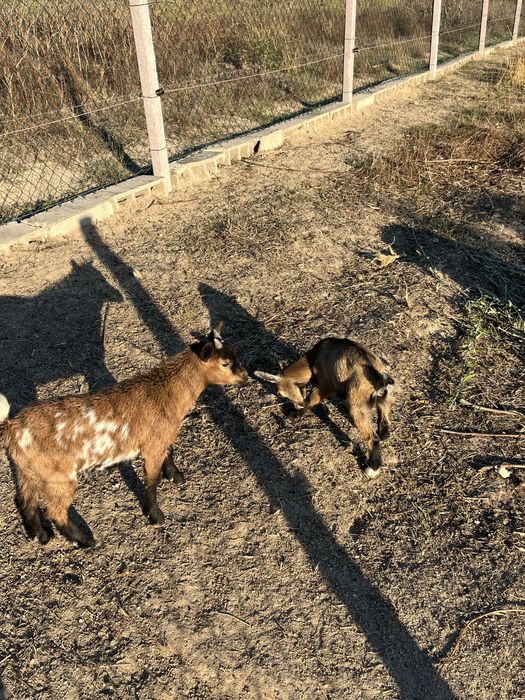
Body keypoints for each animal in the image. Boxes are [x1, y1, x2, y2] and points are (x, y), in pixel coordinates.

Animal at [0, 322, 248, 547]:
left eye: (235, 353)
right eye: (225, 363)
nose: (245, 376)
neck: (165, 393)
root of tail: (12, 428)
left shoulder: (163, 436)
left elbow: (170, 451)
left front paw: (176, 476)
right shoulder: (152, 445)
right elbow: (152, 480)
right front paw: (155, 516)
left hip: (30, 470)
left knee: (24, 500)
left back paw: (41, 536)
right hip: (58, 476)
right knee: (55, 510)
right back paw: (85, 540)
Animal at [255, 337, 394, 478]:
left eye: (281, 394)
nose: (297, 405)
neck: (314, 356)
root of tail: (379, 379)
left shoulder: (325, 384)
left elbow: (310, 400)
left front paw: (296, 414)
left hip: (356, 405)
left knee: (372, 438)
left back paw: (372, 468)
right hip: (386, 398)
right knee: (384, 415)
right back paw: (383, 433)